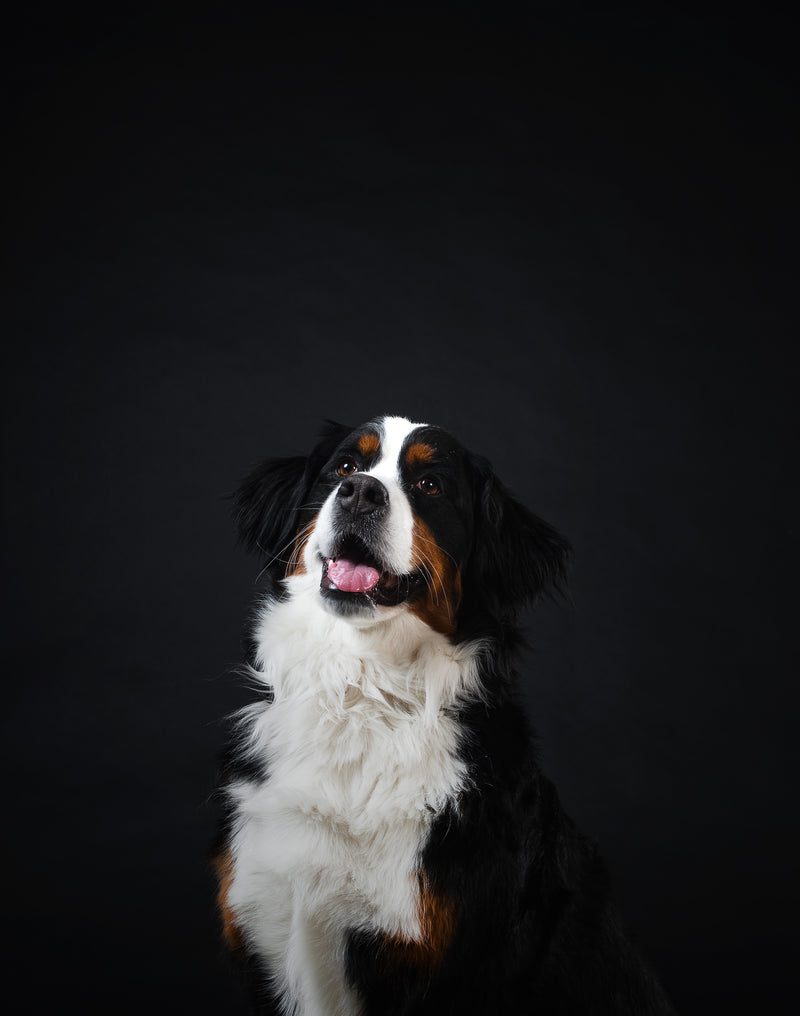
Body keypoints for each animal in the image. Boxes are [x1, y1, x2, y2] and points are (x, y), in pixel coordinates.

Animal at [212, 414, 674, 1016]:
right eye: (345, 466)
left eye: (430, 485)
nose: (360, 492)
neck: (361, 693)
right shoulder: (262, 924)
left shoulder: (448, 967)